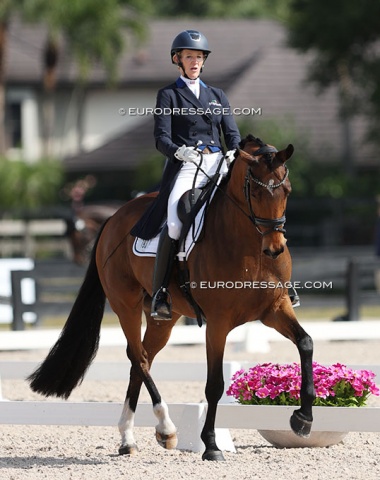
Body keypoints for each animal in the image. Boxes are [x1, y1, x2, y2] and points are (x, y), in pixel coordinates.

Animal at [28, 135, 316, 462]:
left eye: (287, 190)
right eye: (254, 191)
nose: (275, 248)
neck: (249, 247)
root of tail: (114, 217)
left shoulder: (274, 309)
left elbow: (306, 343)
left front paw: (303, 419)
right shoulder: (218, 322)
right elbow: (214, 384)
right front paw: (211, 445)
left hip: (164, 319)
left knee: (142, 358)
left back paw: (129, 438)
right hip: (125, 305)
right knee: (138, 357)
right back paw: (165, 429)